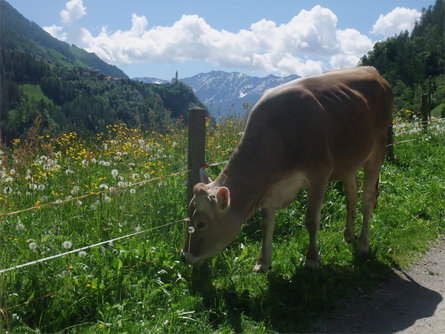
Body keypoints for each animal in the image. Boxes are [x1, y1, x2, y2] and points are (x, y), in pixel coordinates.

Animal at [180, 66, 392, 272]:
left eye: (201, 224)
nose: (184, 256)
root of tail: (372, 71)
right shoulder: (270, 187)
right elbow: (267, 224)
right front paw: (263, 262)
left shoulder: (319, 175)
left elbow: (311, 220)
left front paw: (312, 259)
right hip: (350, 159)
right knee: (352, 193)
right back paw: (348, 234)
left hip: (378, 147)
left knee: (368, 197)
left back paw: (363, 243)